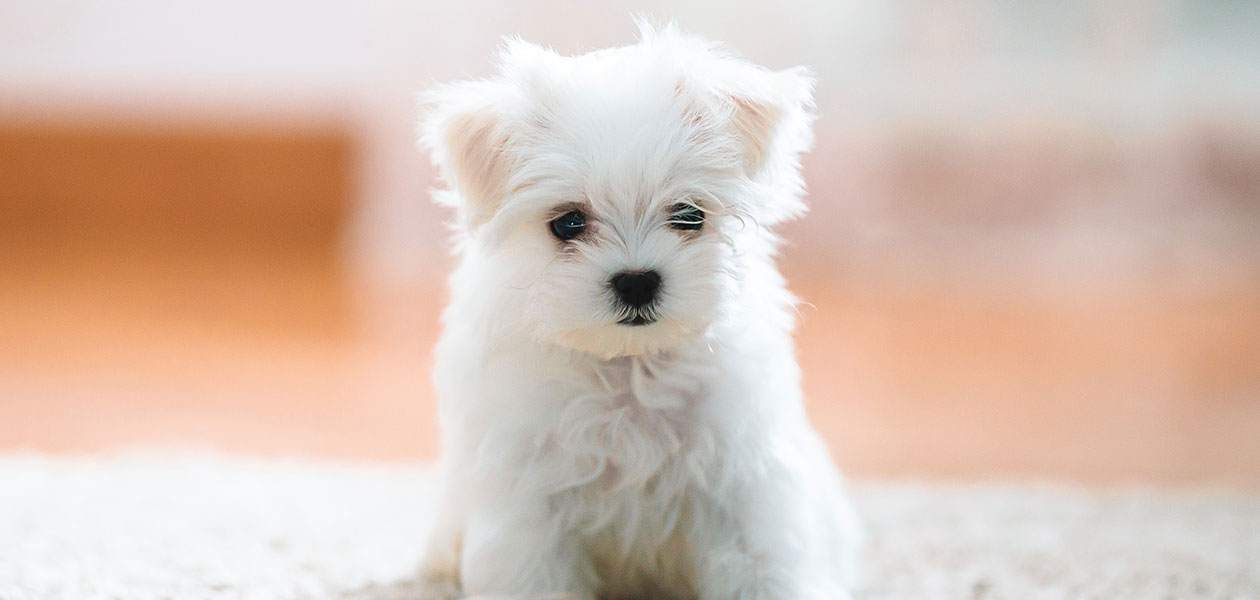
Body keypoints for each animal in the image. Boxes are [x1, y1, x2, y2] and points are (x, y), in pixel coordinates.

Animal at [418, 21, 861, 597]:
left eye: (689, 214)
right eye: (568, 223)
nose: (636, 281)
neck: (630, 370)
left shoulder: (742, 487)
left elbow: (763, 569)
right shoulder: (529, 507)